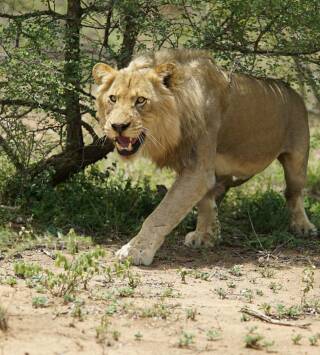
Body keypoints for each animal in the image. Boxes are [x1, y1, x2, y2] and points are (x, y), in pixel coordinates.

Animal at [93, 49, 318, 268]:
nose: (117, 126)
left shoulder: (198, 170)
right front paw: (203, 236)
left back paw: (303, 227)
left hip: (297, 159)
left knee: (293, 192)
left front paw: (136, 251)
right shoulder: (195, 167)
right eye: (113, 98)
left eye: (140, 100)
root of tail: (292, 90)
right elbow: (203, 202)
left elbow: (161, 214)